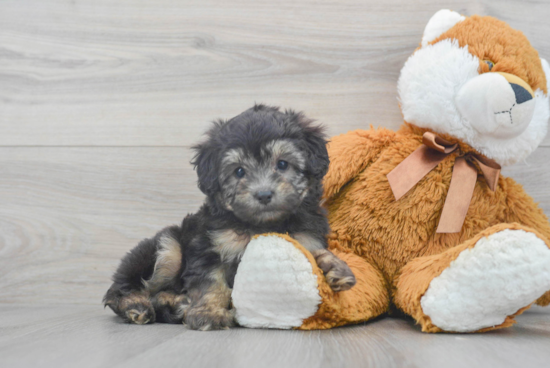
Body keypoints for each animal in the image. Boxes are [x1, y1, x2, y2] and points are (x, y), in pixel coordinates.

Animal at [103, 104, 358, 330]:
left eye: (283, 164)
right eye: (239, 171)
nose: (263, 194)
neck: (261, 224)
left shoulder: (305, 237)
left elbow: (314, 254)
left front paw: (335, 268)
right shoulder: (209, 247)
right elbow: (211, 283)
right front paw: (209, 313)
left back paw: (176, 305)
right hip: (169, 248)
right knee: (121, 289)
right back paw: (137, 306)